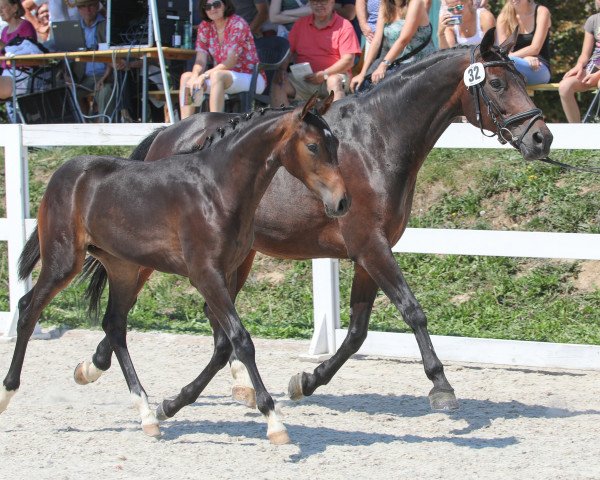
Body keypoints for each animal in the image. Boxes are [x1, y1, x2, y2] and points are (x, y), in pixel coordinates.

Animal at [0, 92, 350, 444]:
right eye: (313, 146)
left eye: (335, 144)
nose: (342, 202)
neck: (216, 188)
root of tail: (64, 171)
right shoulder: (205, 275)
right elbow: (241, 340)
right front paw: (274, 421)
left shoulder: (228, 273)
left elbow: (224, 344)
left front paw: (170, 405)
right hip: (63, 261)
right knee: (28, 309)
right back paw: (7, 393)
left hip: (122, 267)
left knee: (114, 324)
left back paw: (146, 414)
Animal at [72, 31, 552, 420]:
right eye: (496, 83)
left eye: (522, 79)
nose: (541, 138)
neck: (377, 140)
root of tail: (169, 133)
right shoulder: (370, 246)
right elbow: (412, 310)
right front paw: (441, 386)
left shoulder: (366, 254)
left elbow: (357, 332)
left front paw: (306, 381)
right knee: (127, 316)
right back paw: (96, 368)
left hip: (237, 258)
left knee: (212, 325)